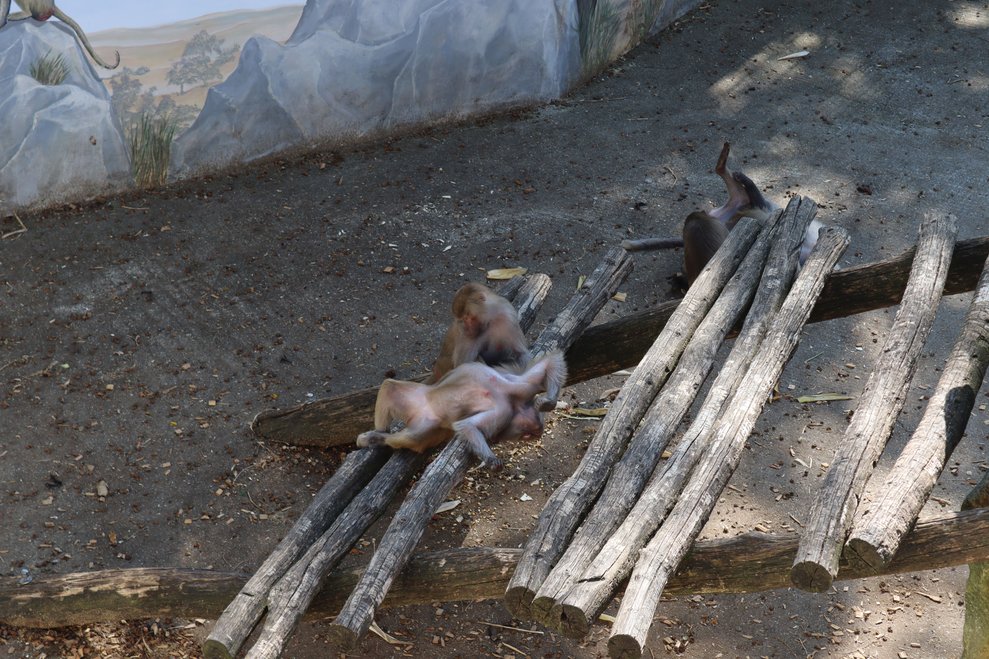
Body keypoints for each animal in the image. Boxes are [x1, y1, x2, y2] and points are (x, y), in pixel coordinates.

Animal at [357, 351, 567, 470]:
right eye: (528, 434)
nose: (531, 435)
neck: (512, 401)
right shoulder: (516, 394)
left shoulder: (511, 401)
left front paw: (548, 402)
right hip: (421, 396)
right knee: (390, 387)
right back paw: (375, 436)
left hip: (426, 421)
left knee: (411, 434)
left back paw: (377, 437)